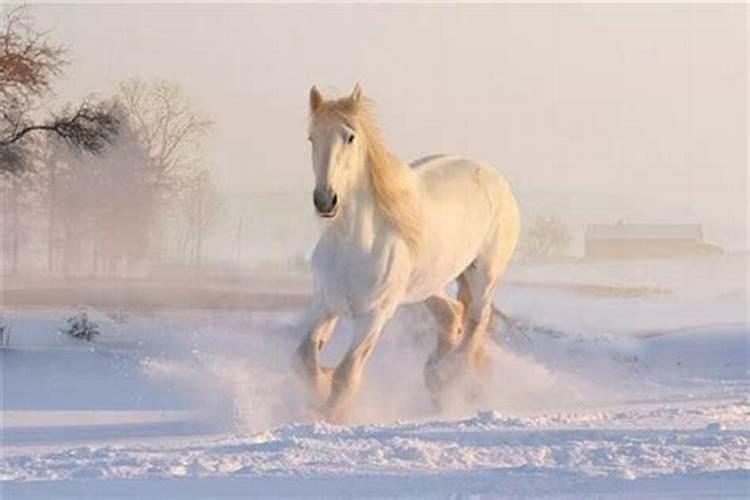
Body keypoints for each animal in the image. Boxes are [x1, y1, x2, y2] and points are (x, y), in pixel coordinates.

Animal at [296, 83, 520, 422]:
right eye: (312, 137)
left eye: (350, 137)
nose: (325, 200)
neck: (354, 245)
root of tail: (495, 178)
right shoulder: (324, 304)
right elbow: (305, 357)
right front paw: (319, 389)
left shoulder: (374, 316)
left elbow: (346, 376)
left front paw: (330, 415)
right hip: (428, 284)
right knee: (452, 314)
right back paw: (437, 378)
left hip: (484, 275)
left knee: (476, 321)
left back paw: (449, 375)